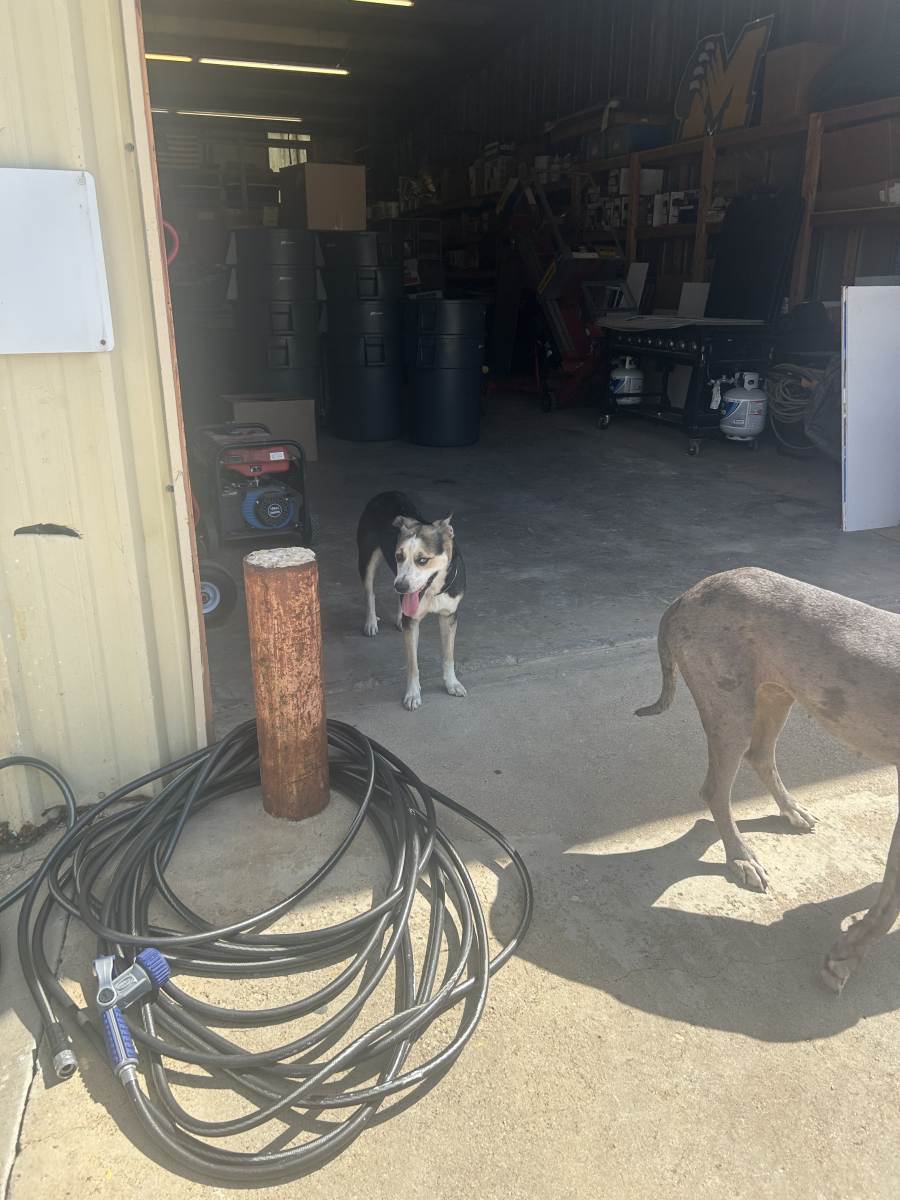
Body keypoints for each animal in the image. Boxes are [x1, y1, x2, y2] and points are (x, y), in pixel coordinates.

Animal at [357, 491, 466, 711]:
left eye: (422, 560)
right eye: (399, 556)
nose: (400, 586)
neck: (433, 592)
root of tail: (386, 492)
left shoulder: (449, 616)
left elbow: (448, 655)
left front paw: (452, 683)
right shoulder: (413, 621)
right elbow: (413, 664)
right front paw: (413, 694)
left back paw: (399, 617)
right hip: (367, 558)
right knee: (370, 593)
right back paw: (371, 622)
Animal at [637, 566, 900, 993]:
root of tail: (688, 594)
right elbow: (890, 901)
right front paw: (846, 958)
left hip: (777, 693)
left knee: (759, 756)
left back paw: (791, 811)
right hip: (730, 711)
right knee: (715, 789)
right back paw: (741, 858)